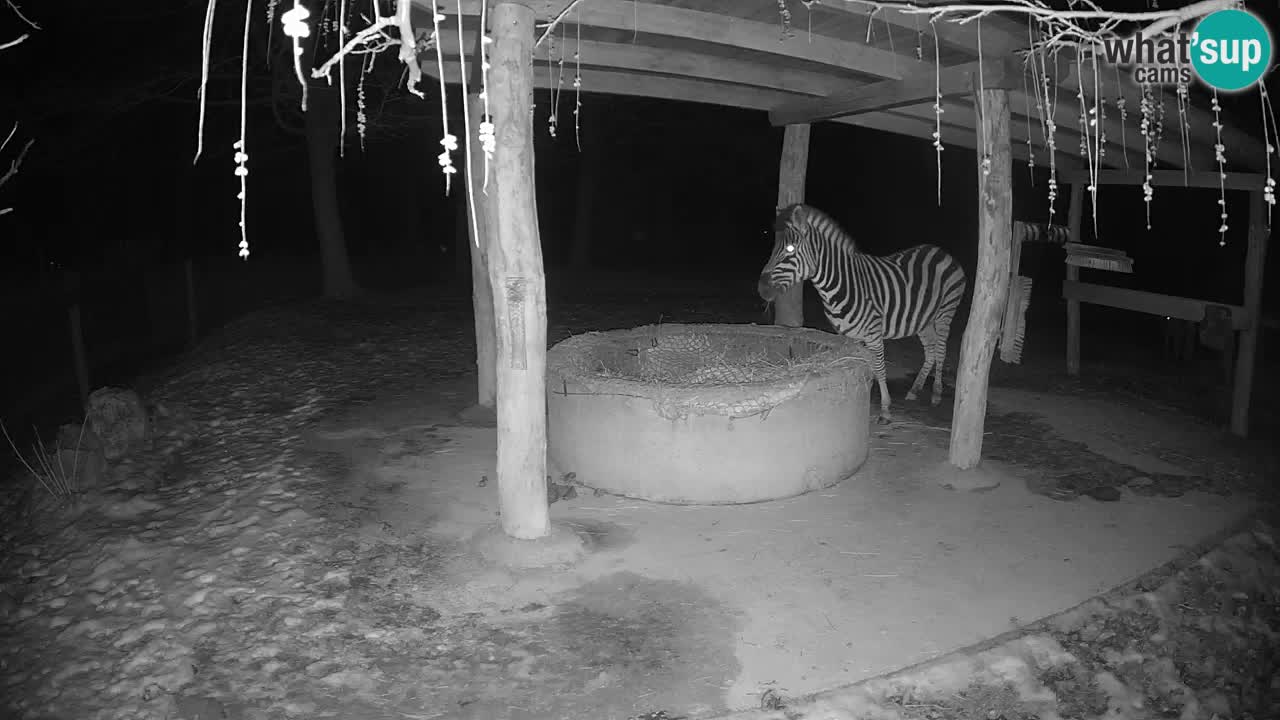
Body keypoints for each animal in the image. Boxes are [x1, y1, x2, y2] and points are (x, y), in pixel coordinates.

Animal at [752, 202, 962, 422]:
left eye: (790, 249)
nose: (762, 289)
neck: (840, 286)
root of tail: (940, 250)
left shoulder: (874, 334)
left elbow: (879, 367)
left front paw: (885, 409)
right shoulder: (849, 337)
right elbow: (861, 364)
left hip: (945, 312)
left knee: (940, 350)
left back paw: (936, 394)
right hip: (923, 320)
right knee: (930, 351)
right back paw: (915, 389)